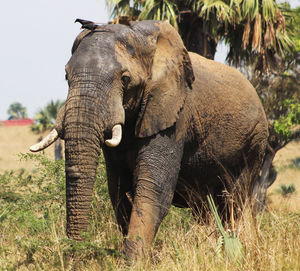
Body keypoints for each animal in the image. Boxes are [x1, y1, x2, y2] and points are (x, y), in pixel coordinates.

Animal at [30, 19, 268, 260]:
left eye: (125, 79)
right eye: (66, 77)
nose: (74, 257)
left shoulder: (173, 114)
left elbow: (154, 188)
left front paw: (132, 262)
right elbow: (119, 190)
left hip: (254, 143)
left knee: (233, 202)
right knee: (204, 209)